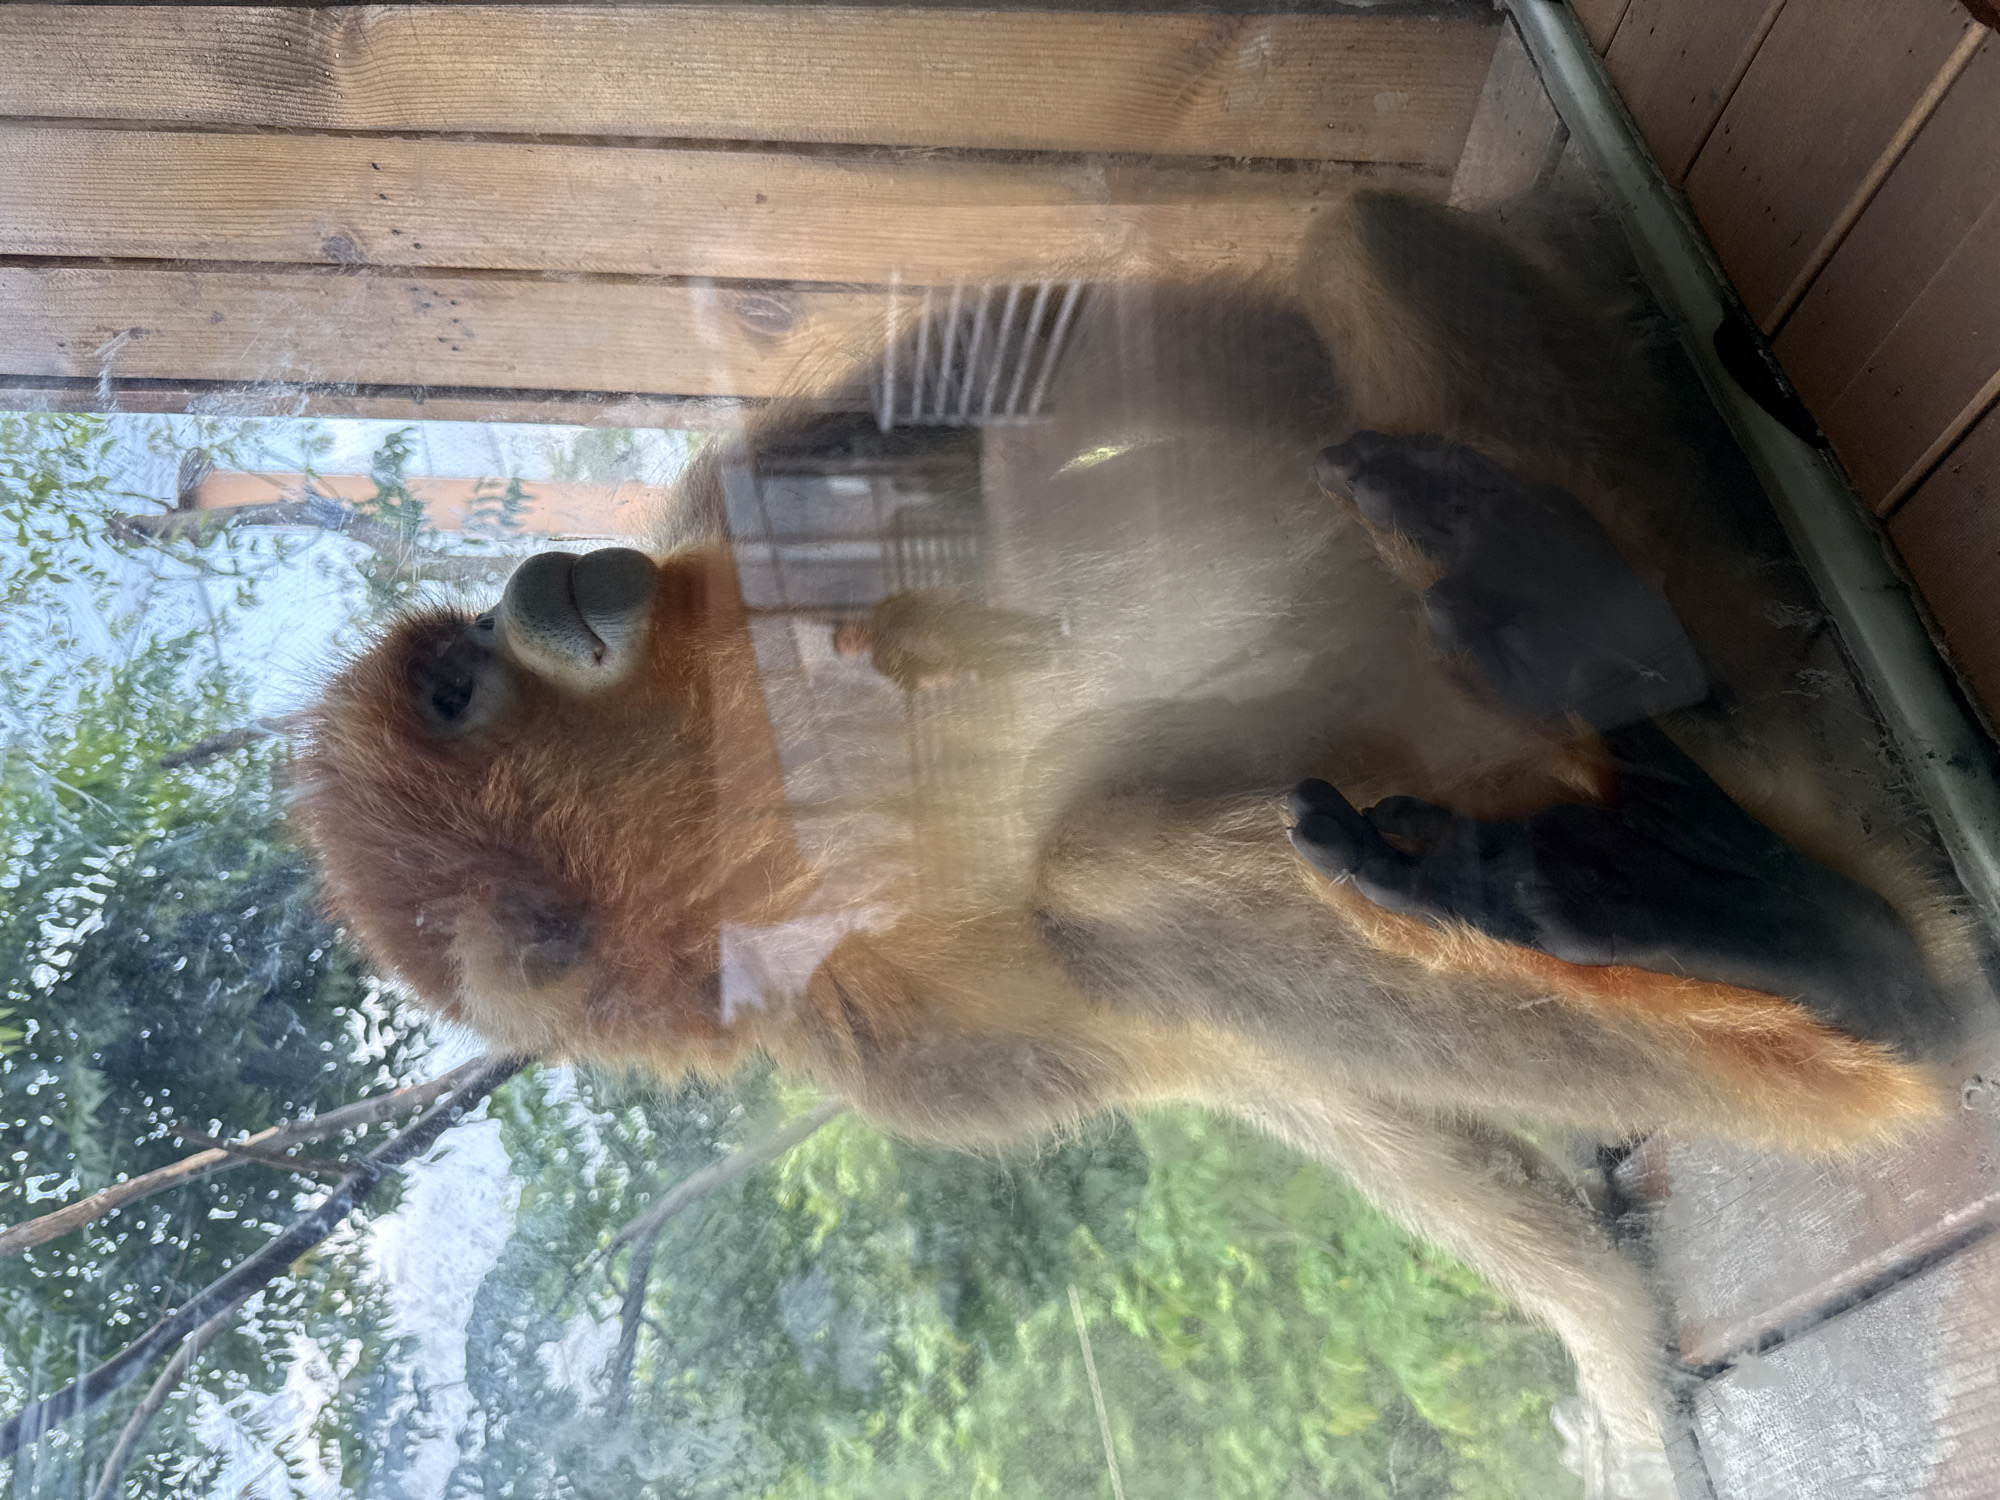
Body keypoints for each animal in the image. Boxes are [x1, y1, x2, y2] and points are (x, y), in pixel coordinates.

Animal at [294, 191, 1975, 1462]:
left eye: (451, 682)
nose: (534, 589)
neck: (776, 809)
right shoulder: (892, 1037)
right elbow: (1268, 1078)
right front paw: (1614, 1347)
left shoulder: (739, 497)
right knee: (1113, 894)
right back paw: (1819, 941)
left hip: (1685, 587)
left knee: (1359, 239)